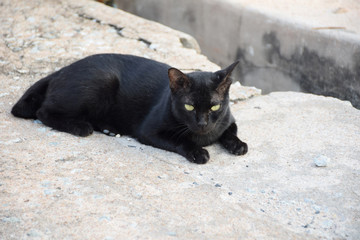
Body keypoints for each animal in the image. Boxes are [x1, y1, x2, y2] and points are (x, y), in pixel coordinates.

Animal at [11, 54, 248, 163]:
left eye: (215, 106)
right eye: (189, 106)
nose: (202, 123)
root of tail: (62, 69)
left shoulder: (228, 120)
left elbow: (230, 132)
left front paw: (238, 145)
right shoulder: (149, 131)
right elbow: (181, 140)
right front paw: (198, 152)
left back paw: (109, 129)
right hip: (102, 80)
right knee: (43, 111)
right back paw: (81, 127)